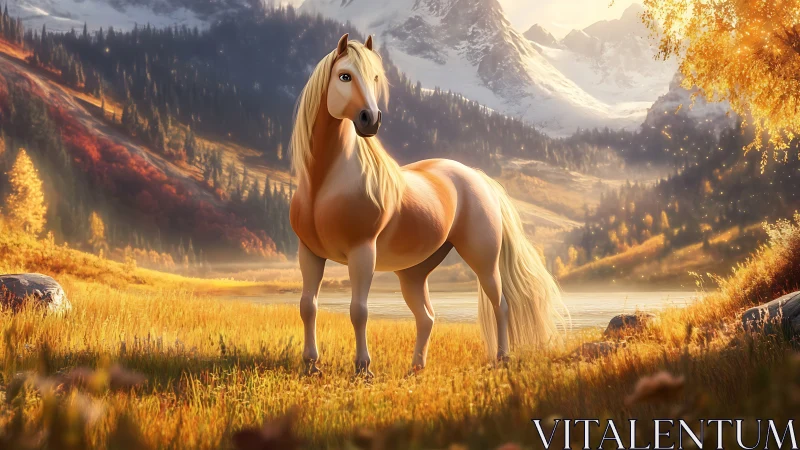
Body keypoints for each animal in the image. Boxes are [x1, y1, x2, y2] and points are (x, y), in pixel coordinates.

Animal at [289, 33, 566, 377]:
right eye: (344, 76)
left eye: (376, 77)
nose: (371, 120)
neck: (324, 183)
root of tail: (477, 177)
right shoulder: (309, 253)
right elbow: (307, 306)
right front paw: (311, 365)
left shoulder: (362, 253)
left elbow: (358, 310)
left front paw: (363, 369)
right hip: (413, 274)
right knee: (426, 317)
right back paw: (416, 368)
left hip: (484, 261)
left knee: (500, 305)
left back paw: (502, 358)